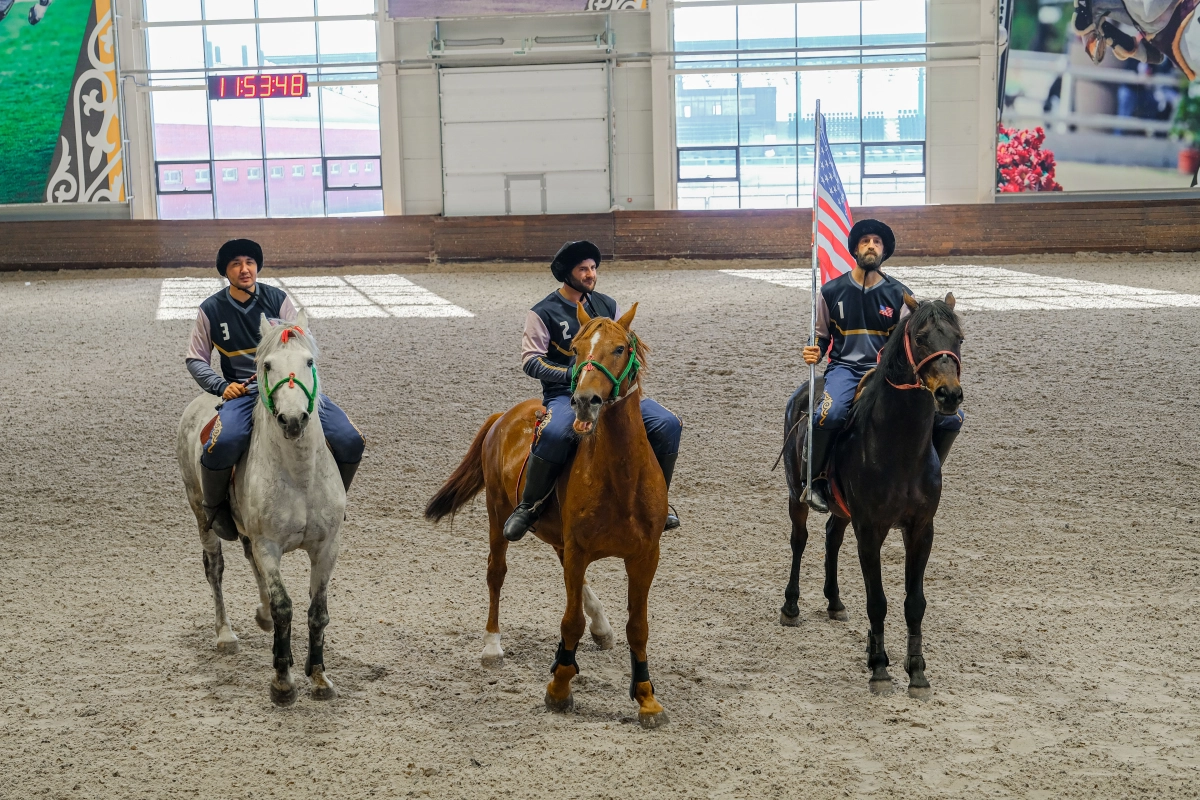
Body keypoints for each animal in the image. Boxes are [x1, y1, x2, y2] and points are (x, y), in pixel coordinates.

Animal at [177, 311, 348, 705]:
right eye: (267, 365)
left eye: (309, 362)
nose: (293, 419)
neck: (299, 476)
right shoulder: (268, 545)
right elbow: (285, 606)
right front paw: (282, 682)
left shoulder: (327, 547)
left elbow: (317, 612)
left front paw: (319, 677)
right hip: (201, 514)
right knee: (215, 569)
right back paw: (225, 635)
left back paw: (263, 615)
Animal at [424, 303, 672, 729]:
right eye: (574, 349)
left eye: (620, 348)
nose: (585, 400)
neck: (621, 477)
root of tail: (505, 415)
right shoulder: (578, 549)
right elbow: (570, 622)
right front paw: (559, 688)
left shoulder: (644, 556)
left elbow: (638, 627)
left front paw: (646, 697)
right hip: (498, 514)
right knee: (496, 573)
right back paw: (492, 646)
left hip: (560, 538)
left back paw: (601, 627)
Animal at [777, 291, 964, 695]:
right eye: (921, 337)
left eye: (958, 338)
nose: (949, 395)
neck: (899, 447)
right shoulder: (869, 530)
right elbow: (877, 600)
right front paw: (879, 666)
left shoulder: (921, 530)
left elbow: (915, 602)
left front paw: (917, 671)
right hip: (795, 494)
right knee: (800, 540)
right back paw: (791, 606)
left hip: (842, 510)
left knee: (831, 537)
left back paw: (834, 602)